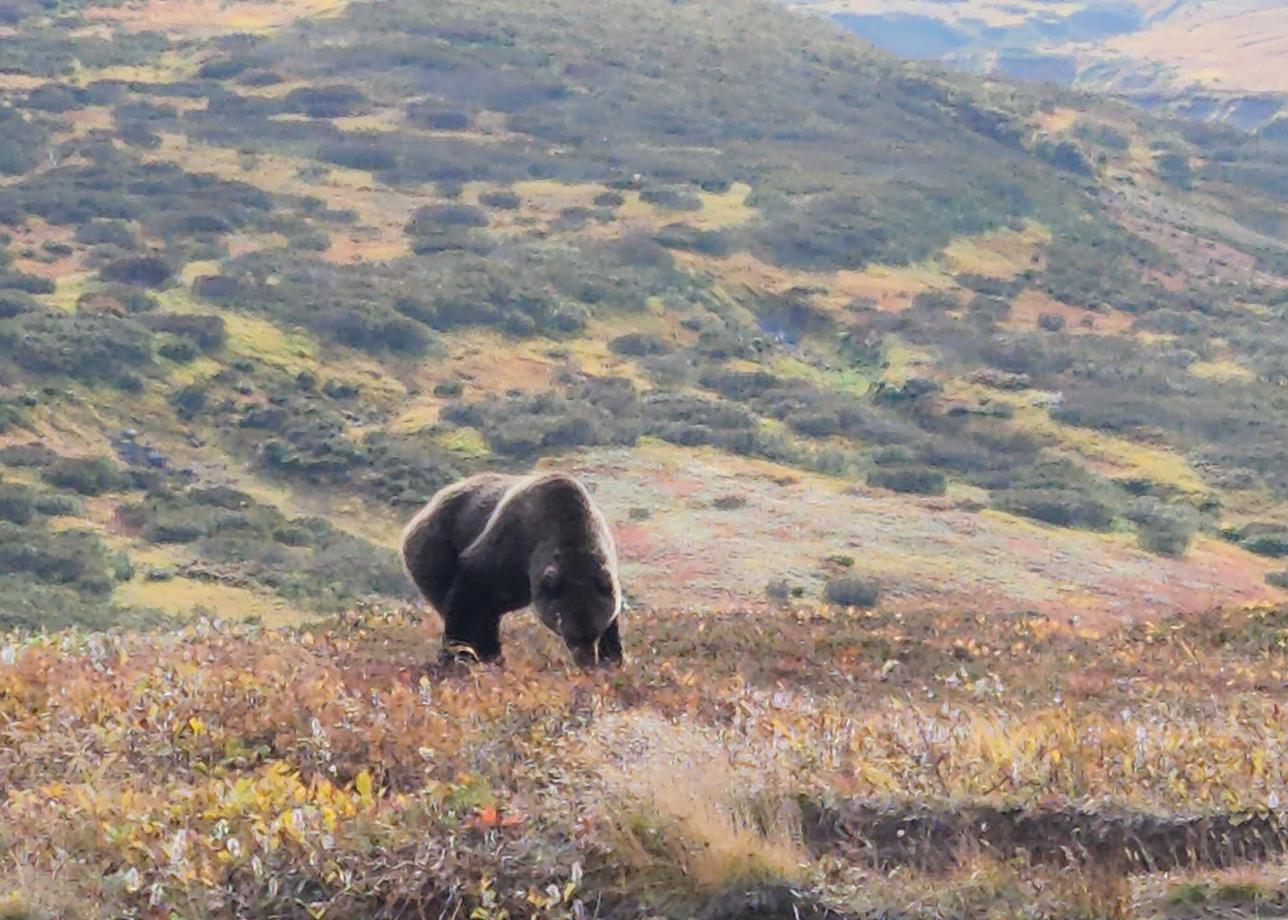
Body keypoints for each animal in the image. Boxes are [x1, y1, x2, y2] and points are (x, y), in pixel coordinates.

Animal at [401, 469, 623, 664]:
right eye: (571, 635)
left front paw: (613, 656)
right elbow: (470, 590)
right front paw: (459, 651)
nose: (587, 661)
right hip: (435, 549)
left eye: (595, 632)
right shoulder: (510, 542)